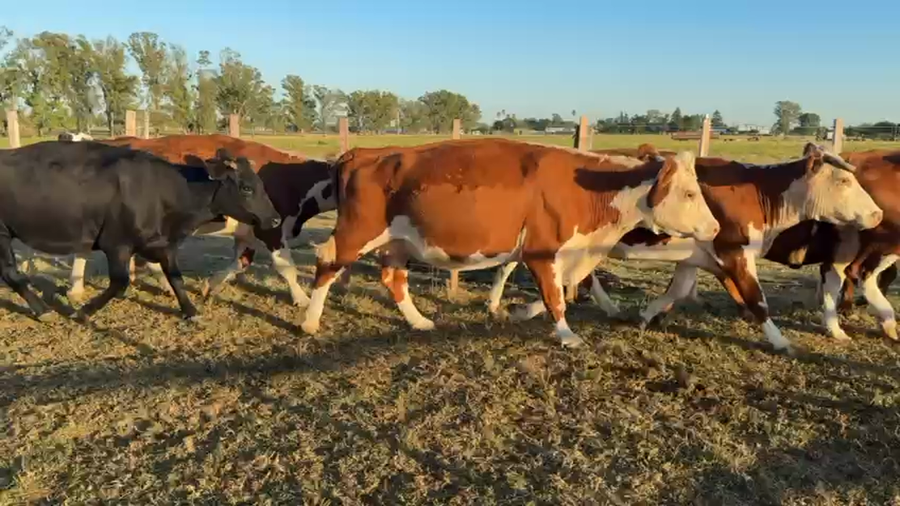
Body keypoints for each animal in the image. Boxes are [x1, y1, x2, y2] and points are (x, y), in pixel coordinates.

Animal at [0, 141, 280, 321]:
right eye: (246, 188)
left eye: (260, 184)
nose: (276, 219)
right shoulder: (117, 245)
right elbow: (119, 283)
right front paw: (83, 312)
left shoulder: (163, 244)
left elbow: (176, 278)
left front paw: (190, 311)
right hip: (2, 234)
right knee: (11, 273)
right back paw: (43, 309)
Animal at [38, 134, 336, 308]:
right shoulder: (270, 228)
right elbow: (286, 267)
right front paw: (302, 299)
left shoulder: (248, 231)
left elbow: (239, 263)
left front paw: (210, 285)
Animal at [298, 138, 720, 347]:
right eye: (688, 193)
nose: (716, 228)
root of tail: (362, 153)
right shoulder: (542, 250)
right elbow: (555, 296)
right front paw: (566, 336)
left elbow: (563, 287)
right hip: (355, 232)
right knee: (327, 265)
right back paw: (310, 321)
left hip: (398, 241)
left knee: (392, 279)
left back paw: (418, 321)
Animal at [486, 143, 884, 353]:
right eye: (844, 181)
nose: (878, 213)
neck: (756, 190)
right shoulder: (735, 251)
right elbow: (756, 300)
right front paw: (780, 340)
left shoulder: (696, 258)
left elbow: (678, 290)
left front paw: (647, 315)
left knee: (550, 271)